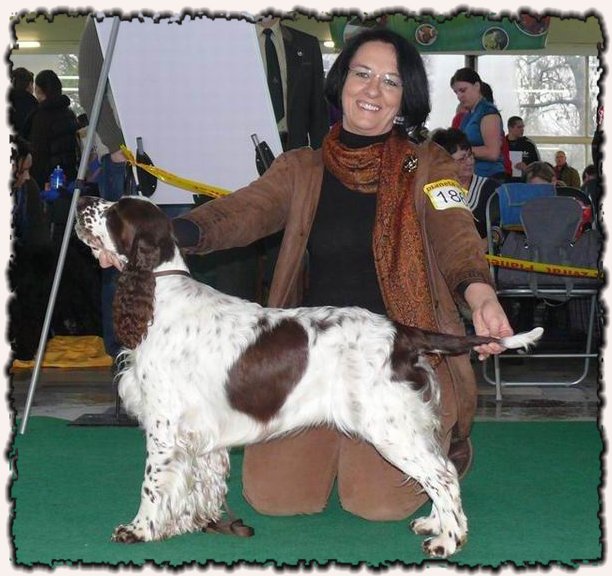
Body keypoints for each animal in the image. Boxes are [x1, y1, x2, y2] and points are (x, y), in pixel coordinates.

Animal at [75, 195, 543, 558]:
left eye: (115, 212)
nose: (81, 201)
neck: (157, 293)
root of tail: (402, 334)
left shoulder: (166, 425)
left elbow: (152, 484)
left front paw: (138, 529)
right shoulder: (199, 434)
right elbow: (199, 483)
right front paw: (196, 522)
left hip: (389, 426)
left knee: (443, 475)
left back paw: (447, 541)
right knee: (441, 471)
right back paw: (432, 524)